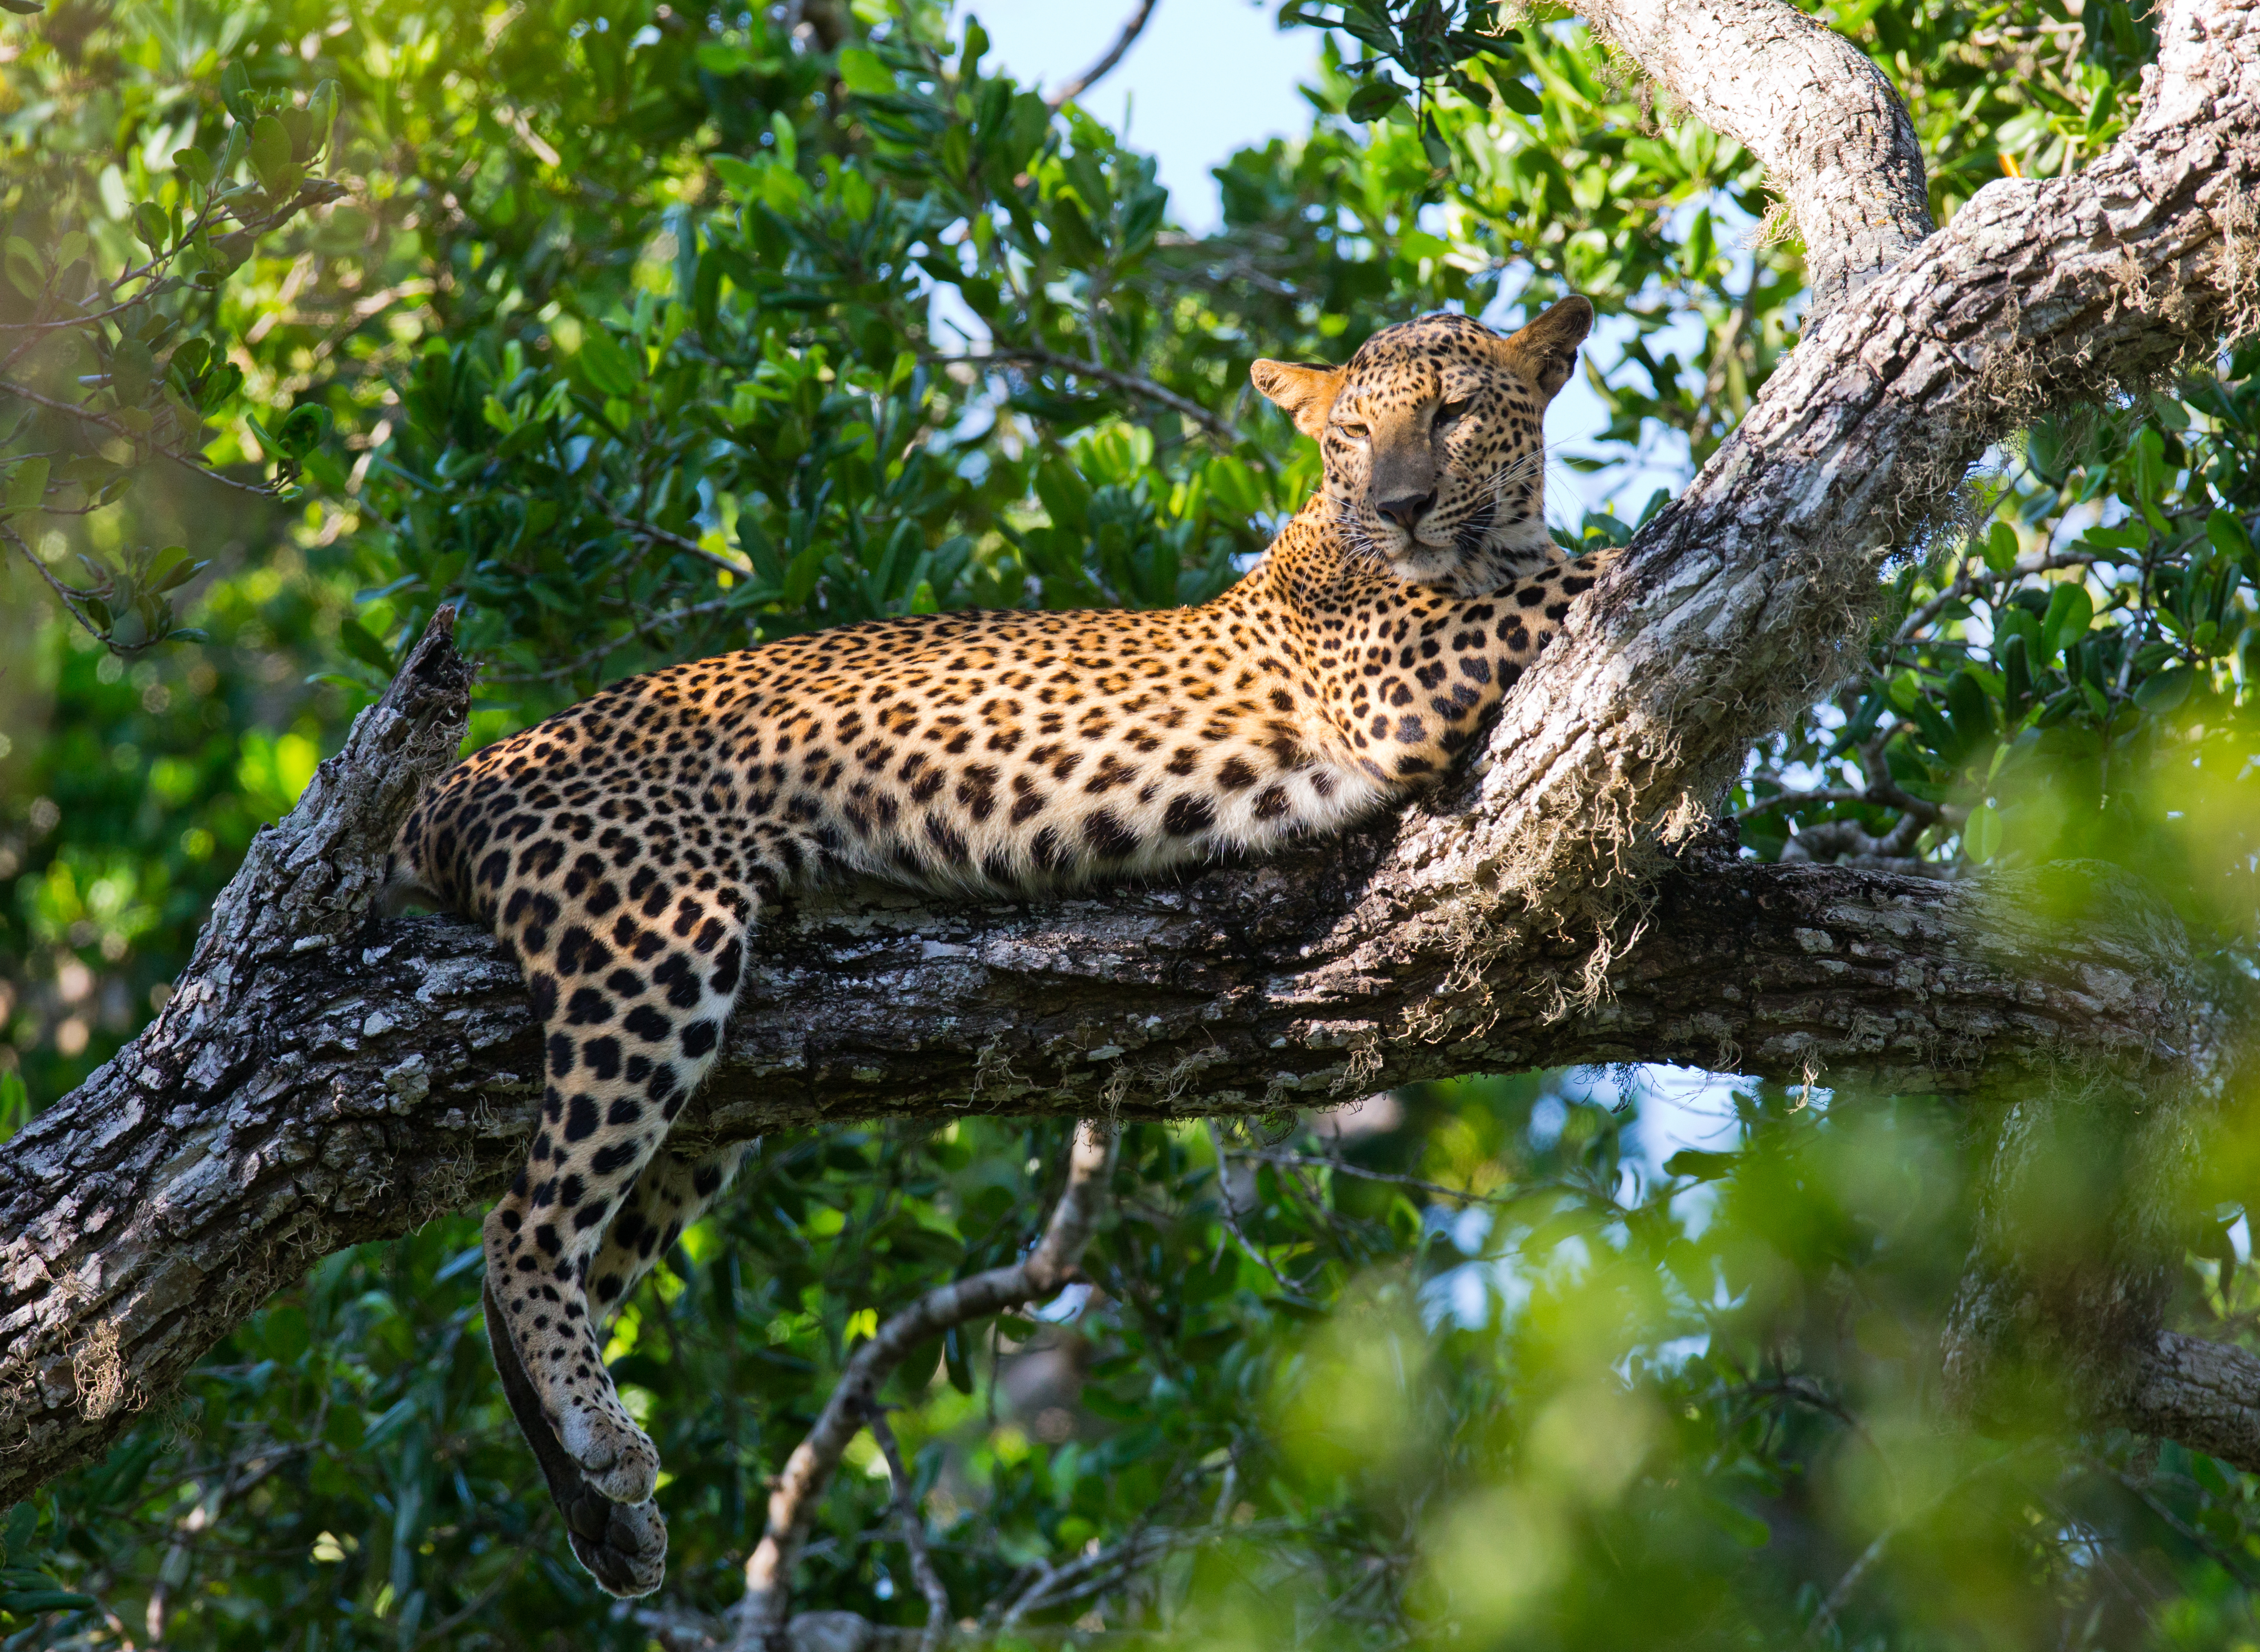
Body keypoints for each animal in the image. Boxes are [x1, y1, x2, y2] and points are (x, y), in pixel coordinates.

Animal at [386, 296, 1614, 1596]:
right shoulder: (1406, 677)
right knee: (522, 1226)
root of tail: (462, 772)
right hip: (648, 948)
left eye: (1452, 413)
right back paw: (604, 1443)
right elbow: (1596, 567)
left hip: (710, 1096)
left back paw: (602, 1509)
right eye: (1351, 436)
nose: (1400, 507)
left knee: (540, 1251)